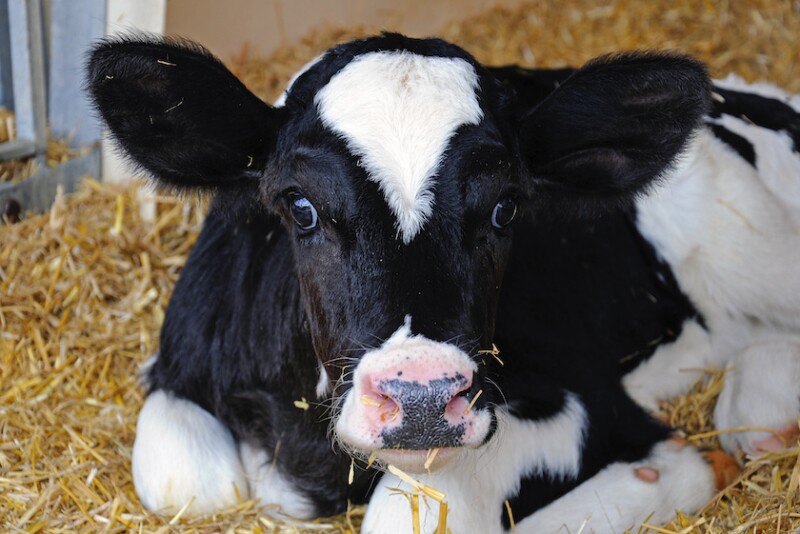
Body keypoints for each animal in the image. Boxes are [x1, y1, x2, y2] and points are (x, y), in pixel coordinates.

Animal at [87, 33, 800, 533]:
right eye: (299, 206)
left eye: (507, 207)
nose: (424, 398)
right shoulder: (183, 361)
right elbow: (187, 482)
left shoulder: (584, 398)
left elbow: (407, 513)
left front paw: (673, 472)